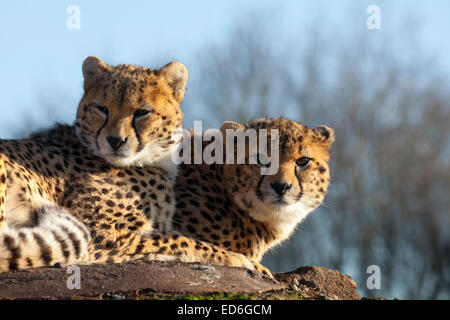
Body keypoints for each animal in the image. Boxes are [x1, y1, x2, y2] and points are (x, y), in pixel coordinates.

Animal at [0, 56, 258, 272]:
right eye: (102, 109)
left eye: (142, 112)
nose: (115, 140)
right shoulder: (98, 233)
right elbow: (173, 239)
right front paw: (232, 257)